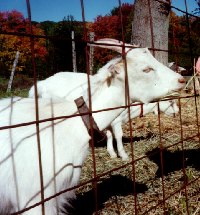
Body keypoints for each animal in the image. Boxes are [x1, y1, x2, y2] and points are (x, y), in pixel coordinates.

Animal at [0, 38, 185, 213]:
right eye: (146, 69)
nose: (182, 80)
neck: (72, 125)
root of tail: (37, 86)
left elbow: (109, 135)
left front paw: (112, 153)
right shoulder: (35, 198)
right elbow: (117, 135)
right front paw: (123, 155)